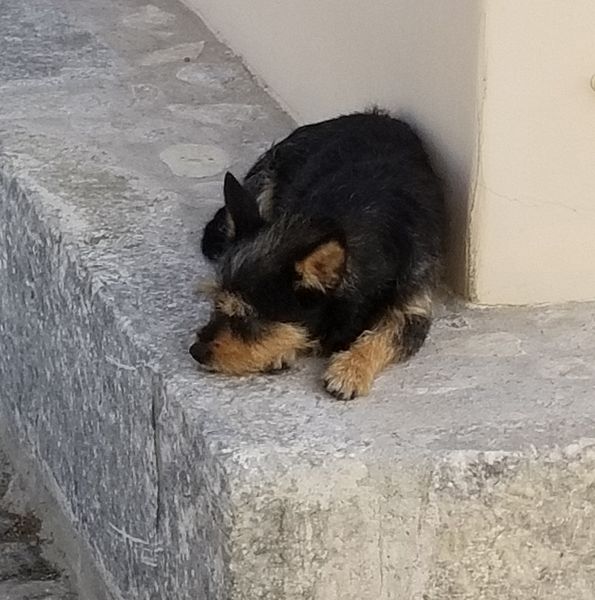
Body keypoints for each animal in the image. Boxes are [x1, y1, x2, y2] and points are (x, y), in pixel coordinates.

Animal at [189, 110, 444, 400]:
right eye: (217, 305)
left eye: (246, 318)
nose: (195, 351)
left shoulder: (414, 309)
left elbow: (385, 337)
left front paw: (351, 369)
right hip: (264, 180)